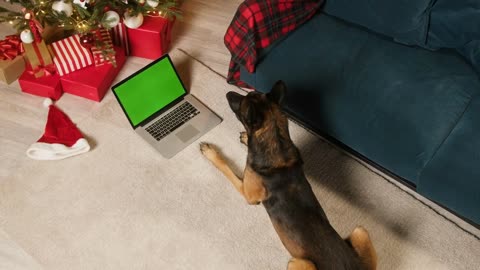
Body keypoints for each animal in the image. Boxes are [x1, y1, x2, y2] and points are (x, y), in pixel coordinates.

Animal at [199, 80, 376, 270]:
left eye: (242, 106)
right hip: (360, 231)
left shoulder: (249, 194)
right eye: (251, 94)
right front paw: (247, 138)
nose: (228, 93)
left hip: (298, 263)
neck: (277, 143)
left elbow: (227, 169)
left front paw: (211, 153)